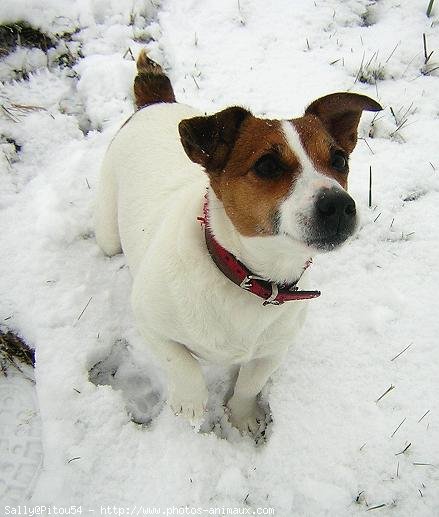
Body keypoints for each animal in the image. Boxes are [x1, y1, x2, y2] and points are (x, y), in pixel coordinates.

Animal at [95, 50, 382, 436]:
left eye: (339, 160)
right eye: (268, 165)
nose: (339, 205)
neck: (250, 277)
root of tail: (155, 102)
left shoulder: (272, 350)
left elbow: (249, 384)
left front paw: (242, 416)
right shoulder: (148, 319)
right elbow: (180, 361)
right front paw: (189, 402)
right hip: (108, 231)